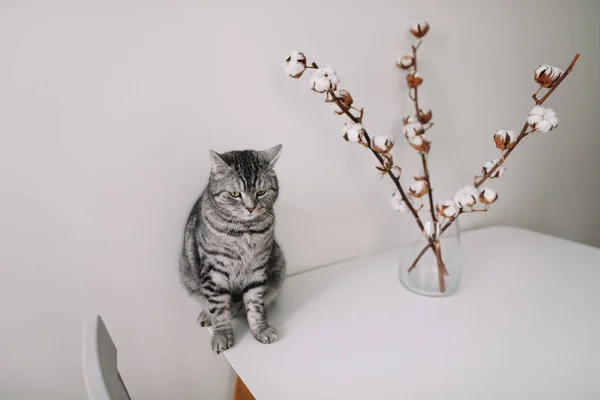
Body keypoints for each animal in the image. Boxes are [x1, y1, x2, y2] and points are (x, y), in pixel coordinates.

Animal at [180, 145, 286, 354]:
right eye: (235, 194)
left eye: (261, 192)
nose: (251, 208)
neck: (245, 231)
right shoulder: (214, 271)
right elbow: (219, 308)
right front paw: (221, 335)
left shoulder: (257, 268)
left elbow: (254, 304)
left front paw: (260, 328)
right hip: (187, 275)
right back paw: (207, 316)